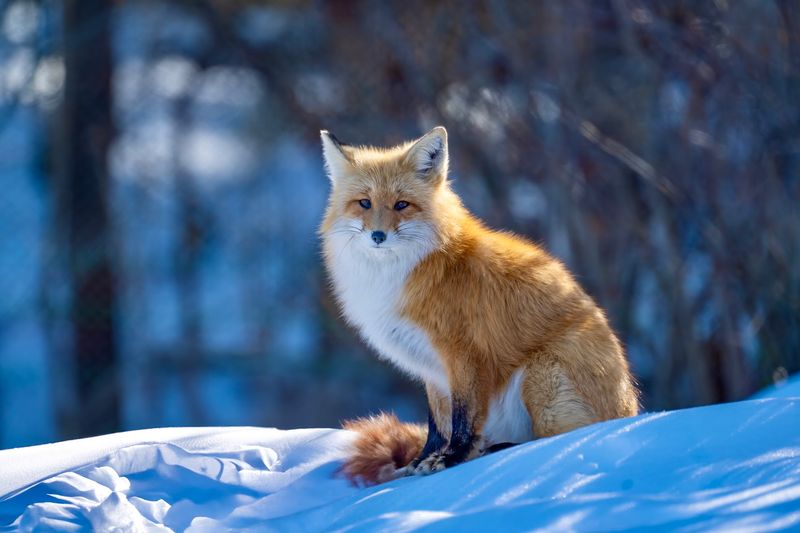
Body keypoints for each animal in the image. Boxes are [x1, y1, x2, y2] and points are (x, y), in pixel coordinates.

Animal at [320, 126, 639, 486]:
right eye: (364, 203)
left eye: (402, 204)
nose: (377, 235)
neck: (401, 275)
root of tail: (631, 411)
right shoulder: (431, 365)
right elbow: (437, 424)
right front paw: (421, 462)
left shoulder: (465, 352)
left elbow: (463, 419)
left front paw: (452, 460)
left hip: (542, 373)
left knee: (557, 438)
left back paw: (500, 449)